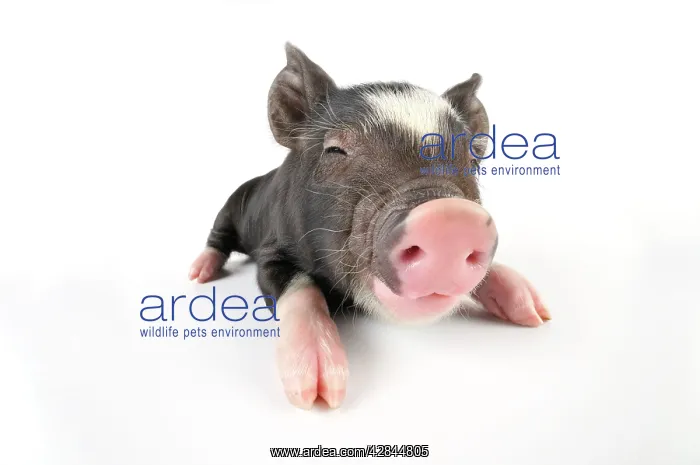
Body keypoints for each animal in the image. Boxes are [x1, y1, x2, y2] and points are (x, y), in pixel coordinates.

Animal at [189, 43, 551, 409]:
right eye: (335, 149)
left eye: (471, 157)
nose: (452, 216)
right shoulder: (271, 250)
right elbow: (299, 287)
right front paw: (318, 394)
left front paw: (537, 313)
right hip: (232, 205)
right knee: (218, 236)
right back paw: (199, 274)